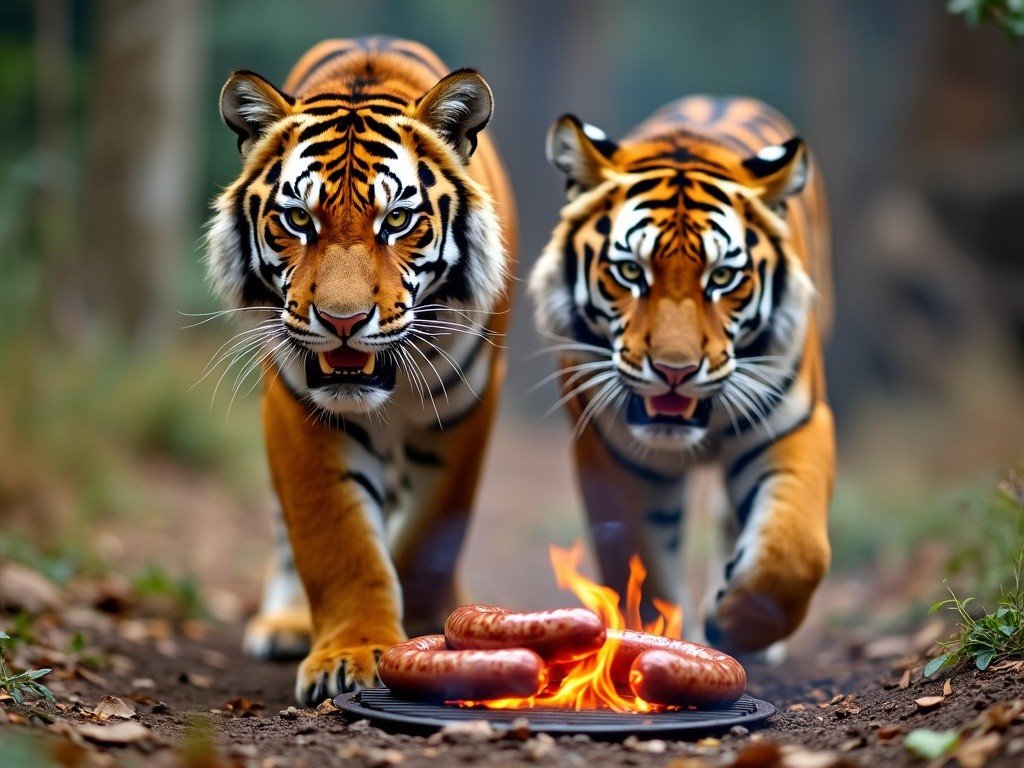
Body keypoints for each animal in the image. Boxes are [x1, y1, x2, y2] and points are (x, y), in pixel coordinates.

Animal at [202, 39, 516, 708]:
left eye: (396, 221)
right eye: (298, 220)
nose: (341, 321)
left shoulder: (466, 408)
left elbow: (427, 533)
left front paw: (428, 632)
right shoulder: (299, 405)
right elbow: (338, 540)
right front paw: (353, 653)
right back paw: (287, 623)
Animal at [528, 96, 831, 659]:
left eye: (722, 277)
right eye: (630, 272)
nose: (675, 370)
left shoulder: (796, 424)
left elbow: (793, 554)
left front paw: (734, 626)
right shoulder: (614, 456)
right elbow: (641, 566)